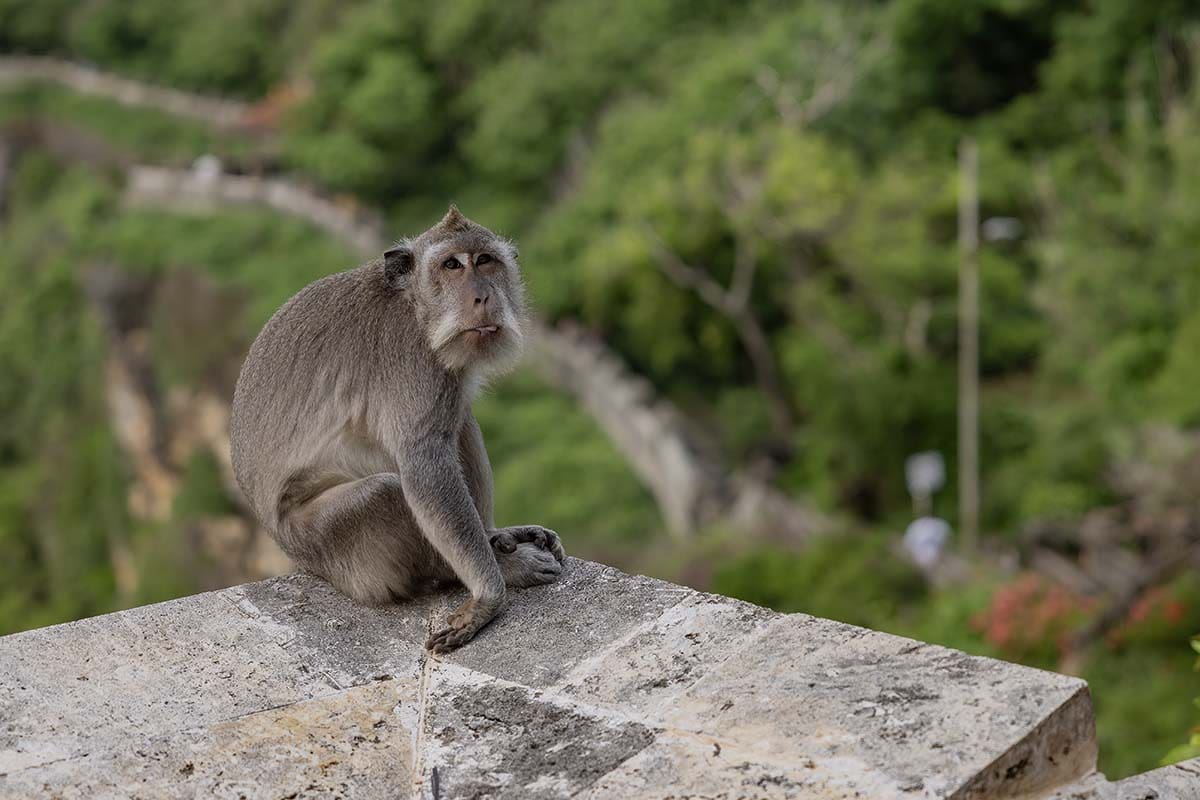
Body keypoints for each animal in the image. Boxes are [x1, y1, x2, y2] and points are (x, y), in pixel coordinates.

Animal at [230, 205, 565, 653]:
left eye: (485, 261)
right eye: (451, 265)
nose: (483, 297)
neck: (417, 308)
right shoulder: (413, 362)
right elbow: (424, 465)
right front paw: (487, 598)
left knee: (459, 420)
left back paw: (494, 537)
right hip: (330, 546)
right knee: (386, 491)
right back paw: (500, 566)